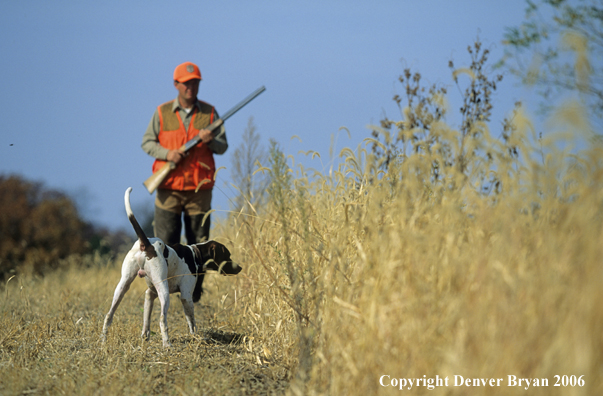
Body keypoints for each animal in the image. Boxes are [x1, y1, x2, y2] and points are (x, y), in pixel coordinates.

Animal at [101, 187, 241, 348]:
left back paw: (103, 341)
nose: (240, 268)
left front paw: (145, 339)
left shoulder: (150, 294)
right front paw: (197, 338)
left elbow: (146, 323)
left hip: (123, 286)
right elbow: (192, 322)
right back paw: (167, 344)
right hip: (164, 291)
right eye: (228, 255)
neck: (195, 254)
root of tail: (146, 244)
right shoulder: (186, 296)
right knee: (162, 319)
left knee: (109, 315)